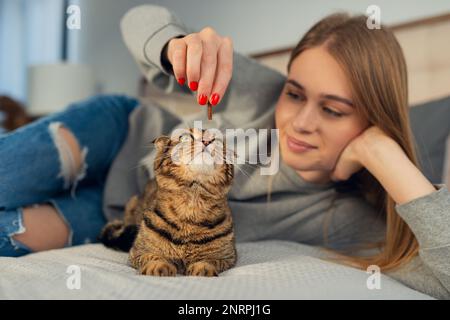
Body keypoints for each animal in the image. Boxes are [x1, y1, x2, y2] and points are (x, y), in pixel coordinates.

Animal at [100, 126, 237, 276]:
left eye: (216, 140)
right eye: (185, 137)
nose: (207, 141)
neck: (191, 204)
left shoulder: (228, 257)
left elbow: (210, 259)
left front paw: (203, 267)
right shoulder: (138, 252)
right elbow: (154, 256)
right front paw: (158, 265)